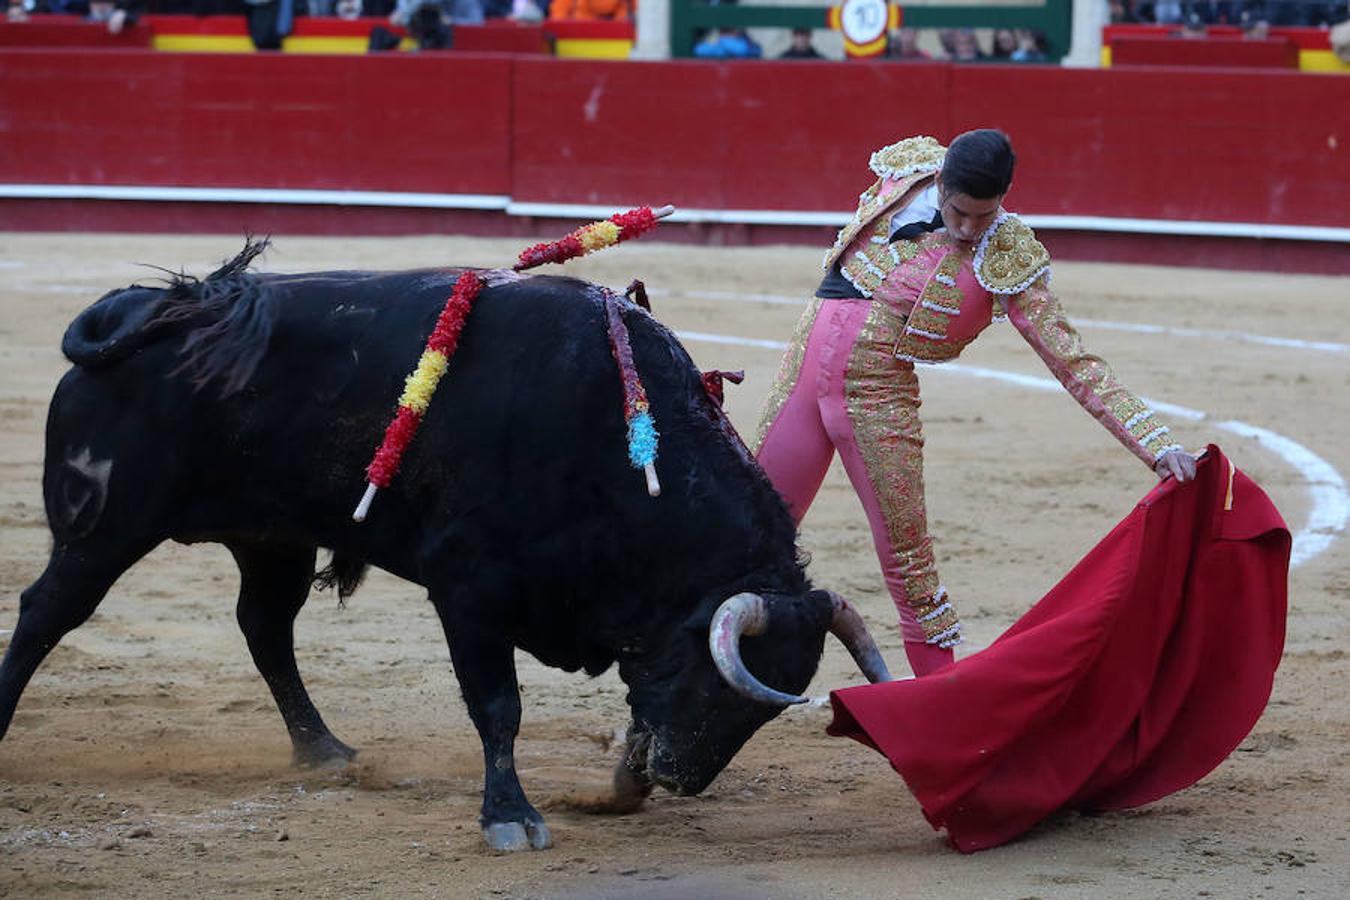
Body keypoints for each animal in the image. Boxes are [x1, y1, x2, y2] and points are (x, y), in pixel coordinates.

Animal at [0, 252, 885, 852]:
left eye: (762, 710)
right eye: (716, 680)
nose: (678, 777)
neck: (616, 444)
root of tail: (140, 312)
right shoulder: (469, 590)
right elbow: (498, 707)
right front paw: (511, 818)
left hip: (273, 538)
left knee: (265, 629)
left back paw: (322, 750)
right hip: (105, 528)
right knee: (46, 615)